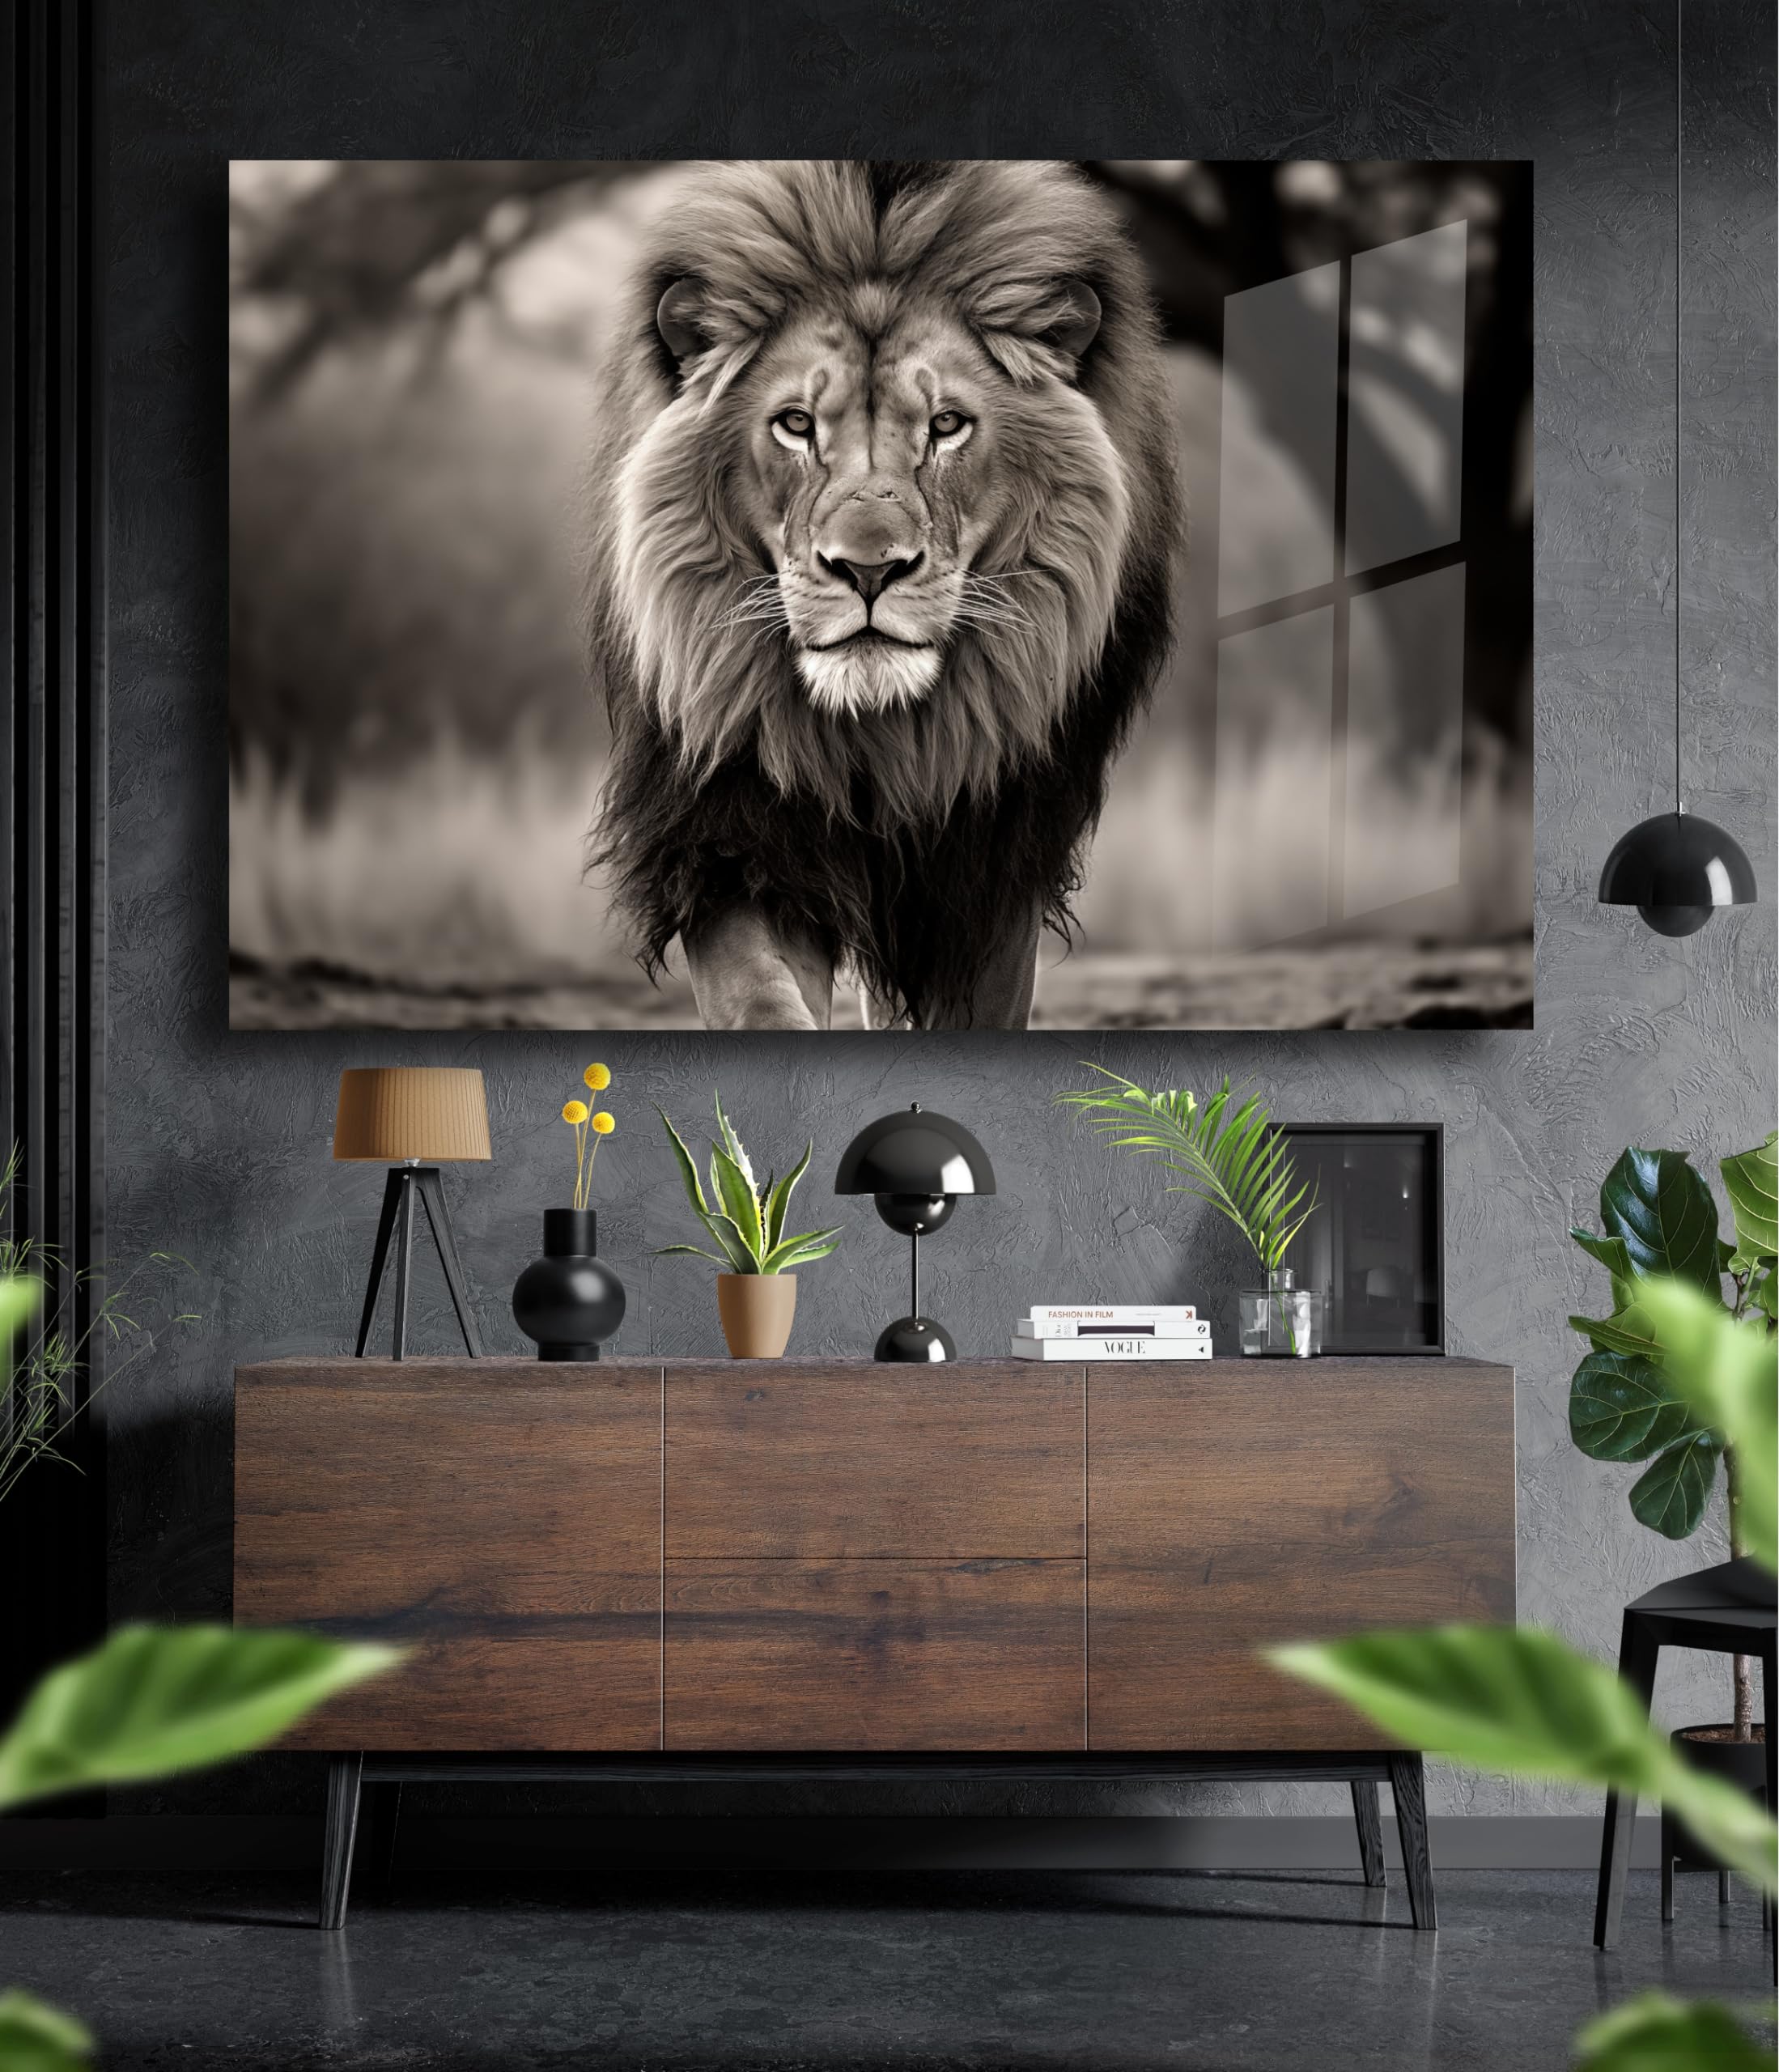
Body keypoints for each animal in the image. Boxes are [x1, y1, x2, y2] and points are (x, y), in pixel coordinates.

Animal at [584, 160, 1181, 1029]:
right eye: (796, 424)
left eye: (947, 425)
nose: (868, 571)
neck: (882, 738)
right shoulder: (732, 835)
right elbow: (761, 998)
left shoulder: (990, 873)